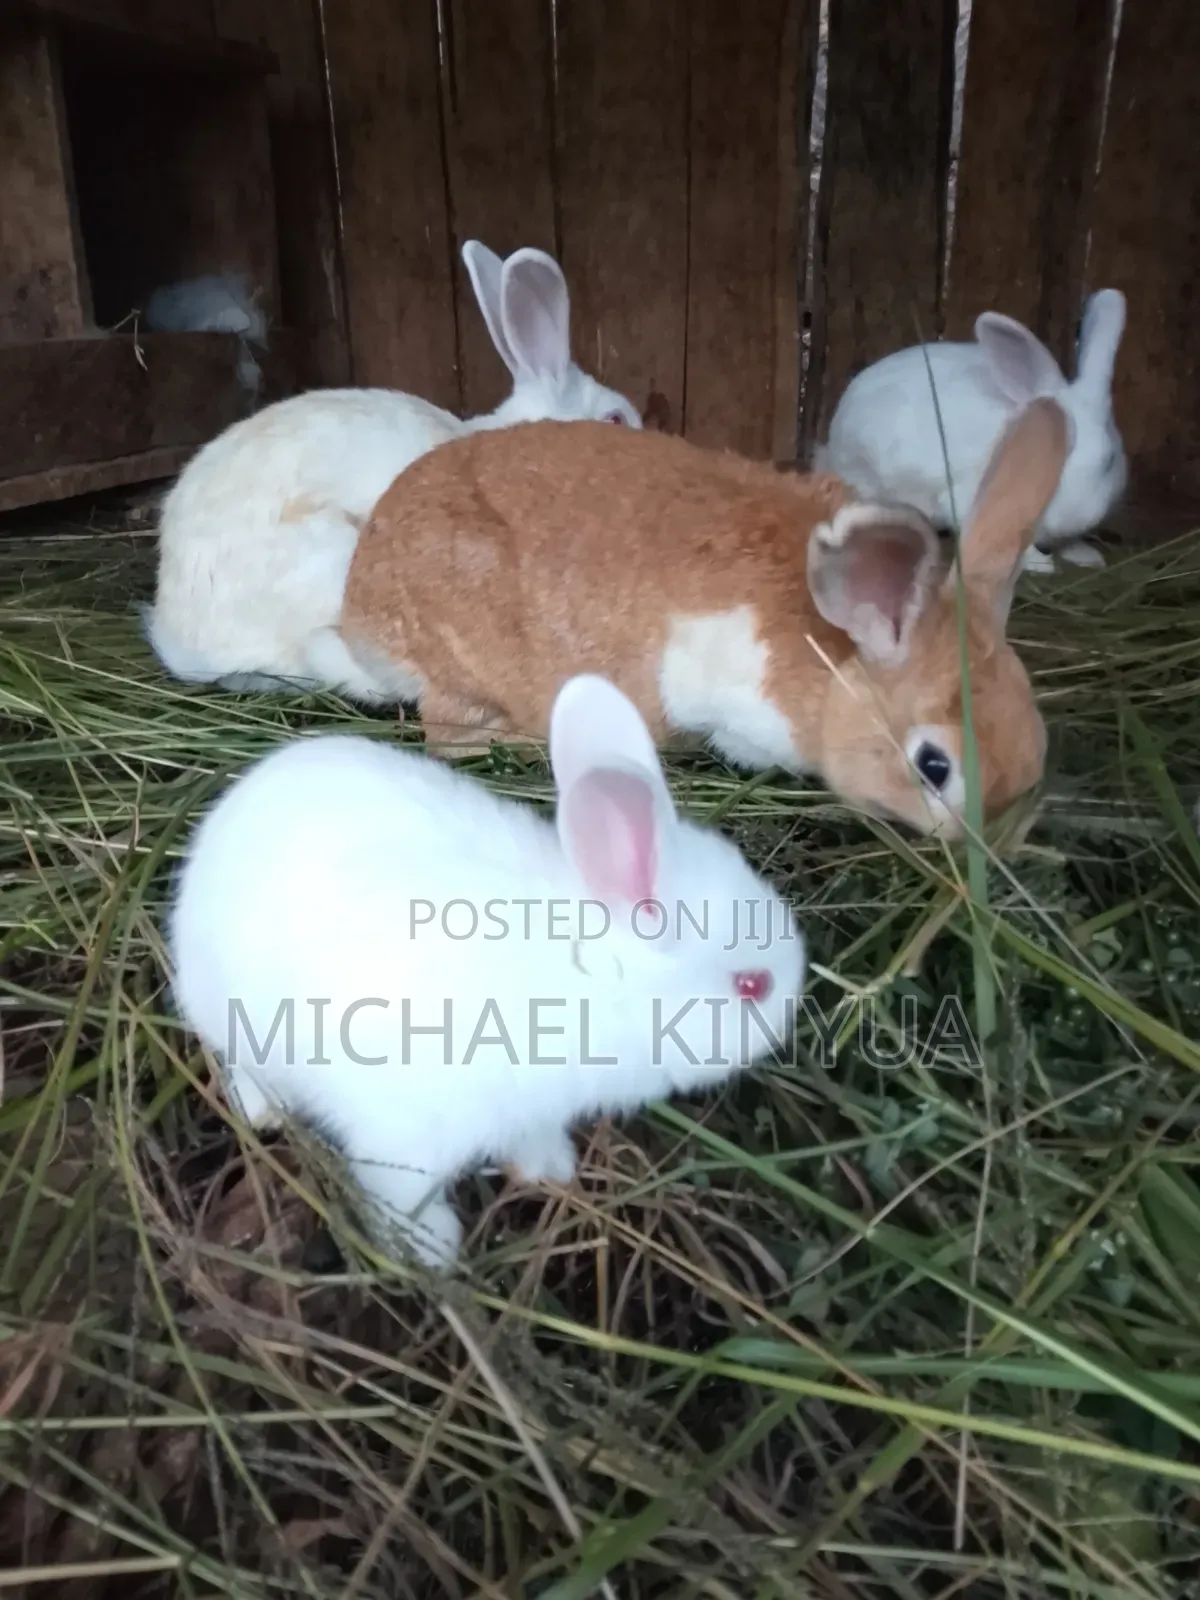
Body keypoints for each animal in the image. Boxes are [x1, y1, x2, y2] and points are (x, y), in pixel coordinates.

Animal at [168, 673, 806, 1267]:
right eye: (752, 985)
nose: (795, 1000)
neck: (589, 986)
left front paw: (550, 1169)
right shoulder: (402, 1135)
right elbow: (403, 1197)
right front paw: (432, 1252)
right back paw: (263, 1112)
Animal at [329, 396, 1072, 839]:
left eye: (1036, 731)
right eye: (933, 766)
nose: (994, 841)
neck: (833, 661)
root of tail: (358, 606)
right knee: (448, 736)